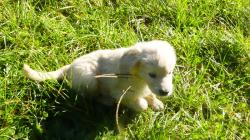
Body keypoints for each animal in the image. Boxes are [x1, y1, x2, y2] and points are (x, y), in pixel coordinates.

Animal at [23, 40, 176, 111]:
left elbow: (148, 94)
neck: (138, 76)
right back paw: (106, 101)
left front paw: (156, 102)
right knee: (90, 96)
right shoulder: (119, 92)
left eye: (169, 72)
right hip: (89, 78)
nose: (165, 92)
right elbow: (139, 103)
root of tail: (70, 67)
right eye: (152, 75)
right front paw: (143, 103)